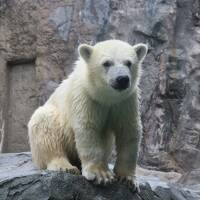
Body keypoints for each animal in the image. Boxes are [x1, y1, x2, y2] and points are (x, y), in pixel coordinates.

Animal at [28, 40, 147, 188]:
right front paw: (100, 175)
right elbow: (88, 128)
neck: (107, 98)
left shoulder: (126, 100)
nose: (122, 79)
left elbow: (128, 131)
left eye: (129, 63)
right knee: (45, 126)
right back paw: (65, 166)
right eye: (106, 63)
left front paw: (127, 178)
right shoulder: (85, 96)